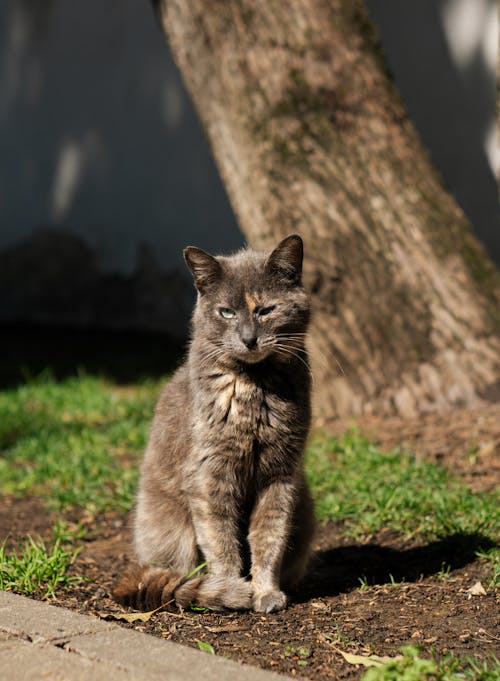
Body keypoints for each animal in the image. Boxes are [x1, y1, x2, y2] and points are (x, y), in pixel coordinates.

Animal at [115, 234, 314, 612]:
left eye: (266, 310)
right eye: (227, 312)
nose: (249, 339)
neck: (255, 387)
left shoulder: (281, 475)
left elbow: (269, 537)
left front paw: (266, 593)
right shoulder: (210, 475)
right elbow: (222, 541)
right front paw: (233, 589)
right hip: (170, 529)